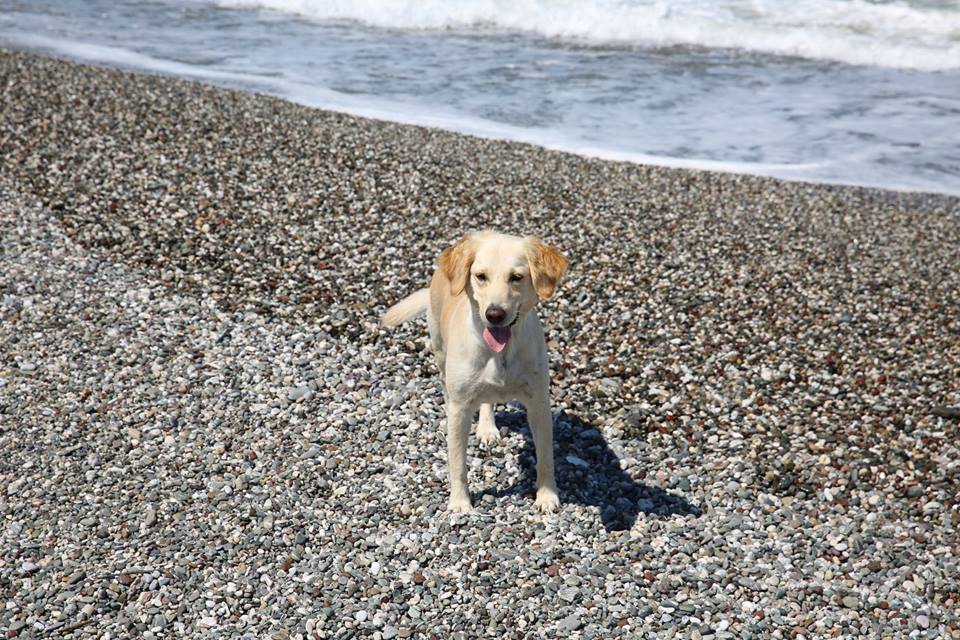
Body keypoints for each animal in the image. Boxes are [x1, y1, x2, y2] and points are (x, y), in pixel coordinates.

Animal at [380, 232, 568, 512]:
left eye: (517, 277)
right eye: (481, 276)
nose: (494, 314)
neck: (501, 353)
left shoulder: (539, 403)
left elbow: (546, 457)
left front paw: (547, 496)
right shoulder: (461, 409)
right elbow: (457, 463)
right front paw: (460, 503)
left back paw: (487, 428)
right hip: (440, 352)